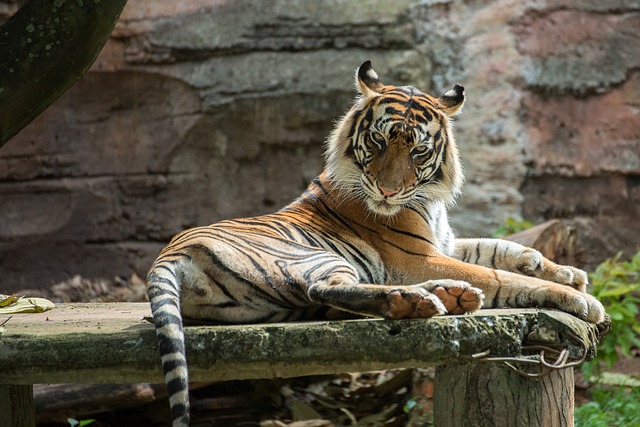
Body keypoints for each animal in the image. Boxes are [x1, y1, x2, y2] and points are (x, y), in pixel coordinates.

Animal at [146, 61, 604, 427]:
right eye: (379, 142)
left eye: (418, 151)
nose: (387, 192)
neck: (428, 200)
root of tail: (170, 255)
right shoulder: (418, 257)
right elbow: (496, 274)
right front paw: (581, 299)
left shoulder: (444, 243)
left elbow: (504, 249)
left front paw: (570, 273)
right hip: (313, 258)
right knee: (328, 288)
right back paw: (421, 301)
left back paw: (449, 296)